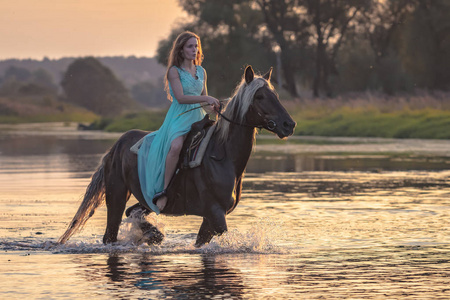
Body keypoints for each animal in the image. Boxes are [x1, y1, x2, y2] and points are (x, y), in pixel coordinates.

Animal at [58, 67, 298, 247]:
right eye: (259, 96)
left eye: (276, 96)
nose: (289, 124)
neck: (223, 156)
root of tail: (116, 145)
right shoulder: (216, 212)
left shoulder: (210, 217)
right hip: (116, 194)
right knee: (111, 233)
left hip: (144, 199)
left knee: (133, 212)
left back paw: (151, 234)